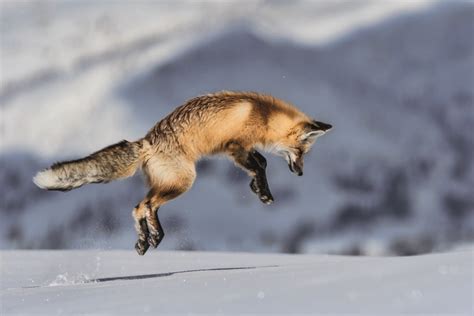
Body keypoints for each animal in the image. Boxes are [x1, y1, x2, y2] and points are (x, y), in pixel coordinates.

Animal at [33, 90, 332, 254]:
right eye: (302, 152)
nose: (300, 174)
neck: (264, 115)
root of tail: (146, 142)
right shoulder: (235, 146)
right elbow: (260, 164)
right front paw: (264, 192)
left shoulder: (240, 149)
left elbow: (261, 163)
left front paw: (256, 188)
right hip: (183, 181)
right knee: (146, 206)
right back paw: (154, 236)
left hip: (167, 182)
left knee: (138, 207)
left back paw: (145, 241)